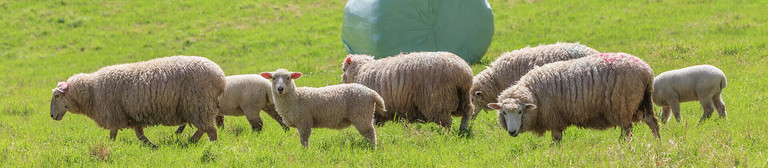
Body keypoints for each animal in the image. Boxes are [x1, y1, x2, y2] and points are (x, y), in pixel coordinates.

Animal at [49, 55, 225, 146]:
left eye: (57, 96)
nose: (51, 116)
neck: (92, 91)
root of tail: (220, 77)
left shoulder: (114, 113)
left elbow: (113, 133)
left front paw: (111, 145)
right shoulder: (133, 116)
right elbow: (140, 135)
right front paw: (152, 146)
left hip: (199, 104)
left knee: (210, 129)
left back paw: (212, 146)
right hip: (198, 106)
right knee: (204, 128)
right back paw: (191, 140)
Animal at [342, 51, 474, 132]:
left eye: (343, 69)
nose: (341, 83)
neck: (360, 70)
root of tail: (462, 72)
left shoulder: (376, 109)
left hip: (439, 101)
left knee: (446, 121)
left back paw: (444, 134)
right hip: (463, 96)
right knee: (468, 111)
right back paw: (463, 129)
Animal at [486, 52, 660, 142]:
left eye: (520, 112)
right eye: (504, 112)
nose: (512, 132)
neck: (534, 92)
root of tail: (647, 71)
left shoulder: (554, 118)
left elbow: (556, 140)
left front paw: (555, 154)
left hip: (623, 105)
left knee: (627, 130)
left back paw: (623, 145)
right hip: (641, 103)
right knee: (652, 122)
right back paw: (657, 142)